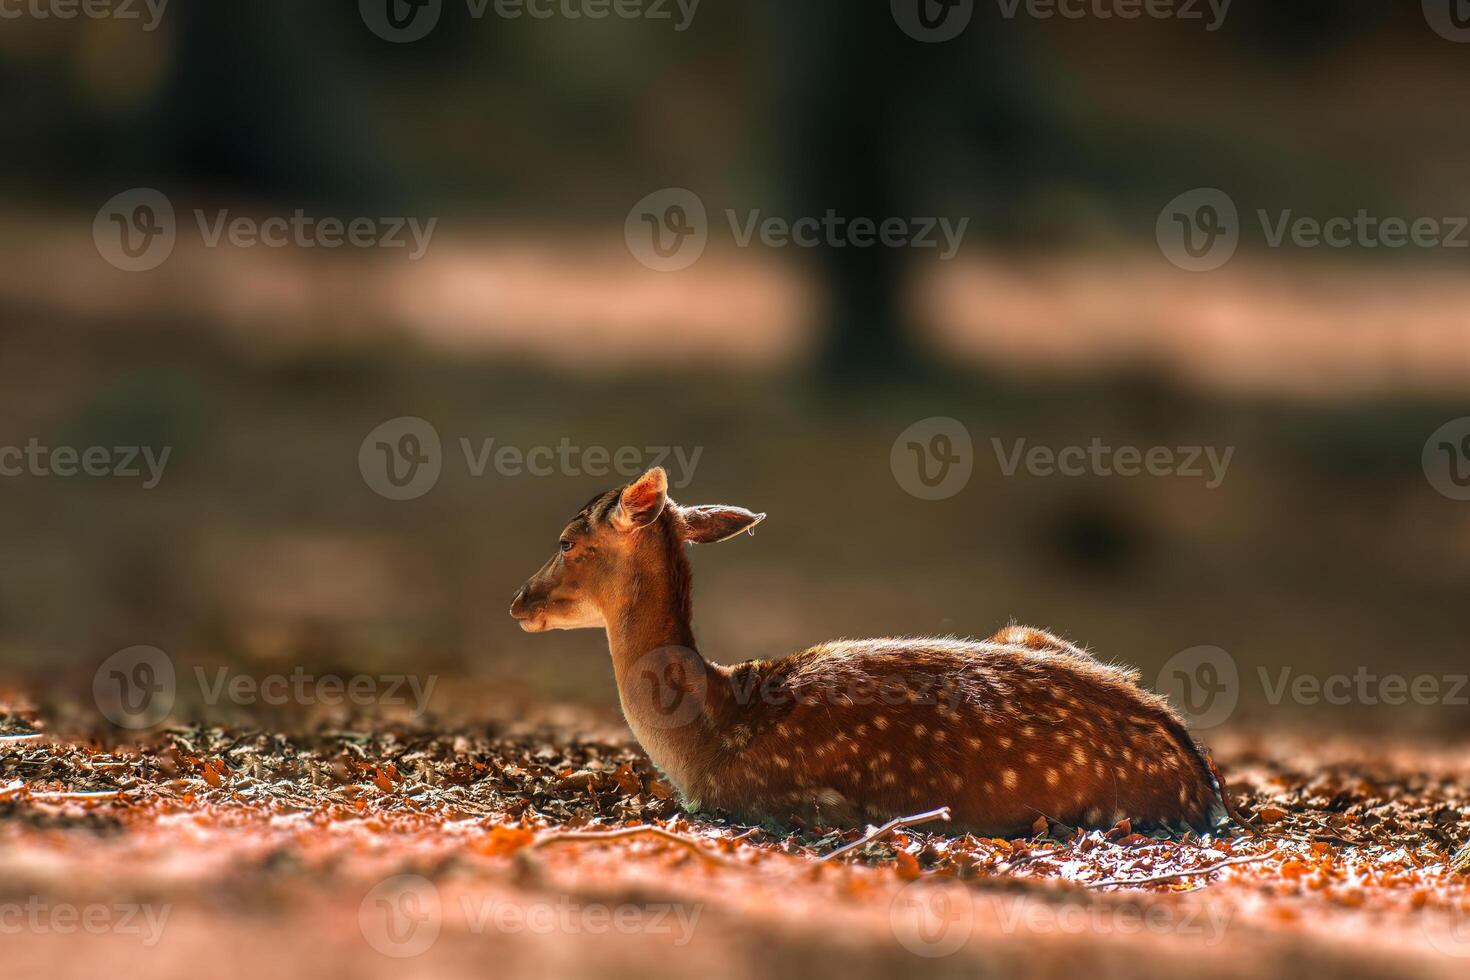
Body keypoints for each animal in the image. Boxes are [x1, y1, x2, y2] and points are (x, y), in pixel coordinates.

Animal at [511, 467, 1234, 834]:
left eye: (568, 541)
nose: (518, 600)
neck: (707, 733)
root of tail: (1206, 786)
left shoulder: (805, 803)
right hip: (1027, 633)